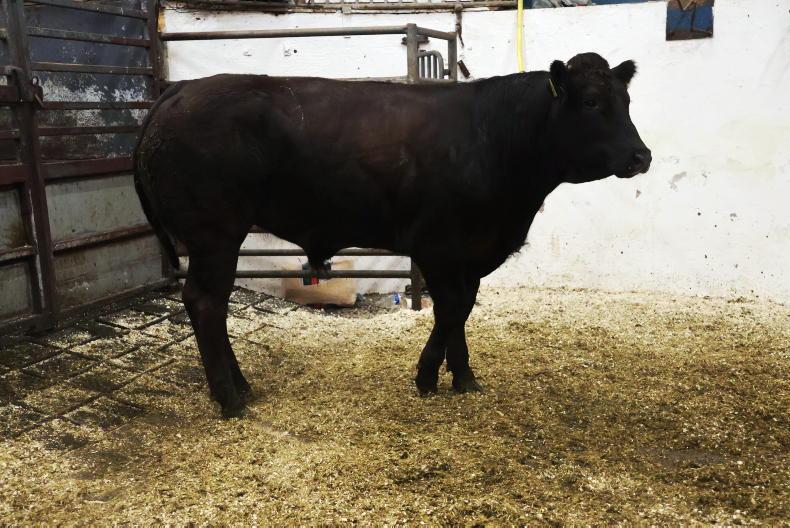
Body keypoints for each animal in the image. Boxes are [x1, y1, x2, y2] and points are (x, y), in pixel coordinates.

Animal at [134, 52, 651, 417]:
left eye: (626, 101)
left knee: (214, 304)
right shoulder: (438, 245)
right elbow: (452, 309)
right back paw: (229, 398)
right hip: (215, 234)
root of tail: (181, 89)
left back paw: (240, 385)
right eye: (591, 102)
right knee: (205, 302)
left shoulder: (471, 253)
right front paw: (427, 377)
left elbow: (462, 309)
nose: (641, 156)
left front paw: (463, 378)